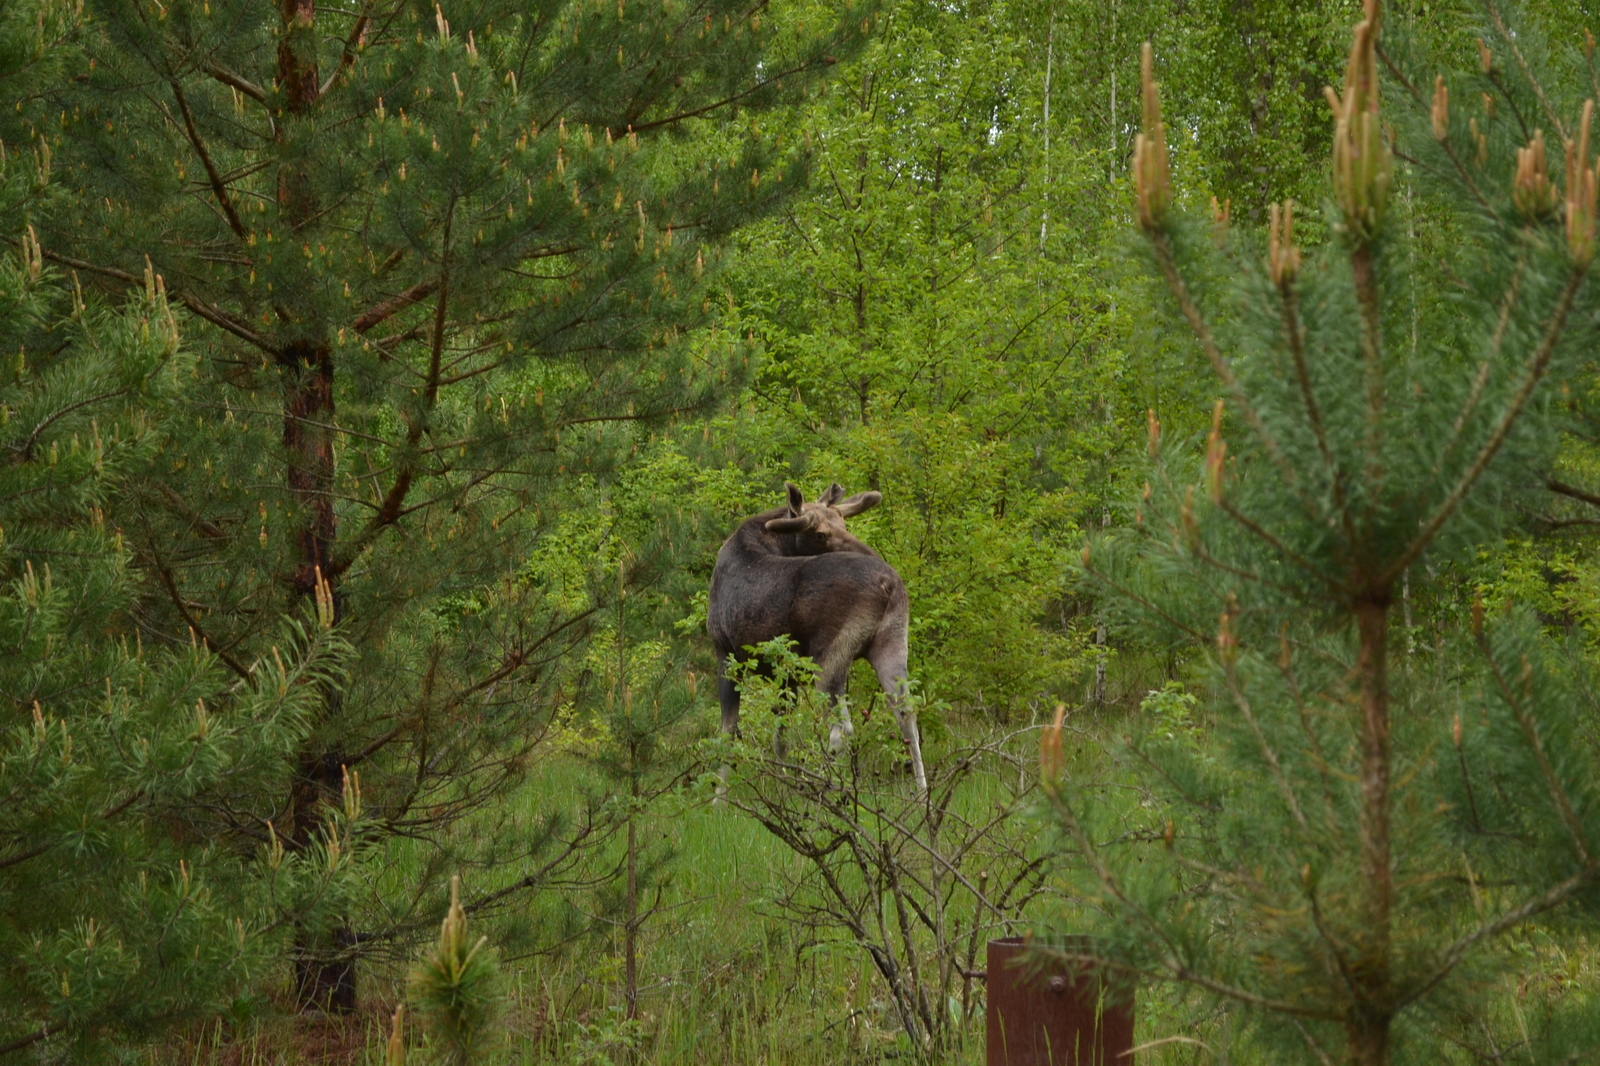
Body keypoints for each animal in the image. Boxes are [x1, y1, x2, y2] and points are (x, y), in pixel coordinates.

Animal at [710, 480, 928, 787]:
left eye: (844, 525)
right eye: (821, 534)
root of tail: (889, 584)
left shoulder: (726, 655)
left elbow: (727, 738)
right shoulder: (785, 675)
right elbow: (782, 737)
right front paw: (786, 785)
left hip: (829, 655)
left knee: (841, 729)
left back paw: (828, 787)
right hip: (892, 643)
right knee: (907, 714)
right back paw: (922, 793)